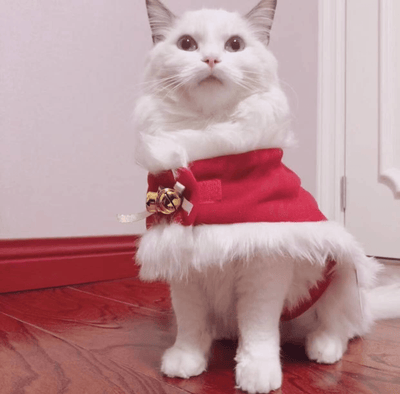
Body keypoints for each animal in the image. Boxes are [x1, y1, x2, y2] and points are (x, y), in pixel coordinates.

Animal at [134, 1, 400, 392]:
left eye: (234, 44)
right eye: (186, 44)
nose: (211, 59)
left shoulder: (264, 265)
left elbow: (258, 332)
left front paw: (257, 373)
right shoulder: (183, 264)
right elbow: (190, 325)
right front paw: (186, 361)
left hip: (340, 273)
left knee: (340, 327)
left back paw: (322, 348)